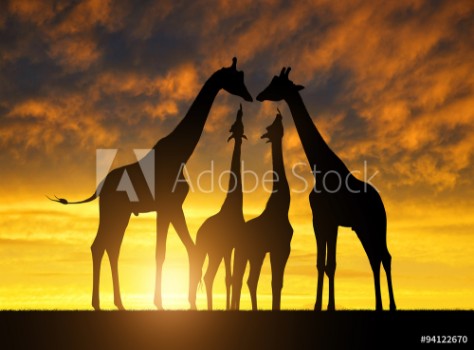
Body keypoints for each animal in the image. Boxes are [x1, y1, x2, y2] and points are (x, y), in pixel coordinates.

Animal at [189, 103, 248, 308]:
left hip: (215, 252)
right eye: (233, 126)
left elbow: (232, 278)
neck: (234, 207)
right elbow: (229, 278)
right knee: (204, 276)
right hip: (211, 250)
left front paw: (233, 308)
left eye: (242, 126)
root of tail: (200, 233)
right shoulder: (227, 246)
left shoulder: (235, 245)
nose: (240, 109)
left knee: (208, 276)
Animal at [232, 110, 294, 310]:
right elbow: (273, 282)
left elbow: (278, 283)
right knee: (241, 279)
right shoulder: (274, 248)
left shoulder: (283, 248)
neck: (282, 208)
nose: (279, 115)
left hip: (254, 253)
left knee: (248, 280)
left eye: (276, 126)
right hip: (246, 251)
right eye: (270, 127)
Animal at [256, 67, 396, 310]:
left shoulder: (326, 220)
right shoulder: (325, 220)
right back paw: (380, 305)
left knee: (383, 256)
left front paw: (324, 305)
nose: (259, 95)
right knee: (376, 257)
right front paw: (323, 305)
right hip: (363, 227)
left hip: (377, 224)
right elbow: (325, 264)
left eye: (277, 83)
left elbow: (328, 264)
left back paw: (391, 305)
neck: (319, 169)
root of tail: (381, 201)